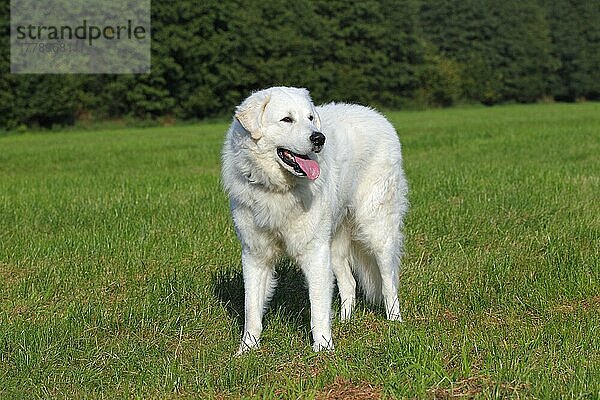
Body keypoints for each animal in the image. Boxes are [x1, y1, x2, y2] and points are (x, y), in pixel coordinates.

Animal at [223, 86, 410, 352]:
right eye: (287, 119)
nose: (319, 138)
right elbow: (252, 308)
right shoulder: (255, 253)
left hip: (376, 230)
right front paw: (247, 349)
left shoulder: (315, 252)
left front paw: (323, 348)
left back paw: (395, 322)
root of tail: (377, 116)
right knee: (349, 283)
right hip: (334, 243)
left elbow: (318, 307)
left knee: (389, 283)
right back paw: (344, 321)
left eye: (310, 118)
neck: (278, 190)